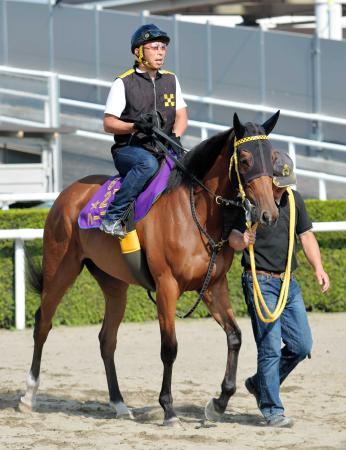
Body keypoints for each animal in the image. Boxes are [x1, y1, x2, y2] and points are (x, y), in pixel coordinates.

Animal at [20, 111, 282, 426]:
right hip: (60, 270)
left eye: (272, 157)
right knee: (43, 324)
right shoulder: (167, 286)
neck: (195, 212)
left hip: (114, 285)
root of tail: (67, 194)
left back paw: (119, 403)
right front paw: (168, 409)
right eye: (244, 159)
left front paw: (218, 403)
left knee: (107, 339)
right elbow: (169, 348)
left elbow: (235, 337)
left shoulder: (213, 286)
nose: (269, 214)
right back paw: (29, 395)